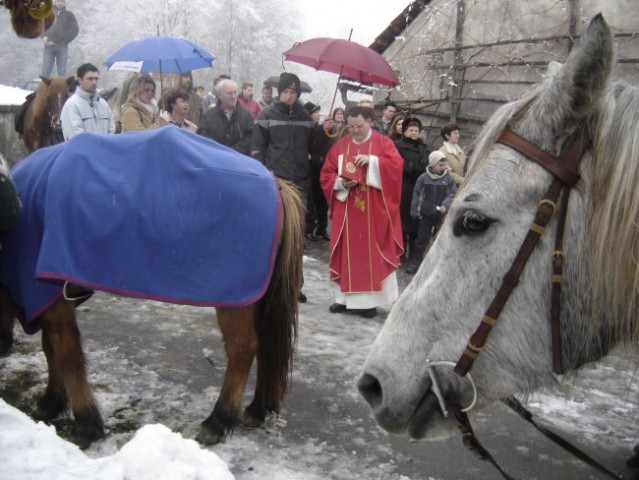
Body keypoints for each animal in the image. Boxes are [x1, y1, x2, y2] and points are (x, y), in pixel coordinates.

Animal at [0, 127, 304, 450]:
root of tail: (274, 182)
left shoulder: (46, 296)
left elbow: (67, 355)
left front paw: (84, 423)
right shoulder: (49, 298)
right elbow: (52, 349)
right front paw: (51, 402)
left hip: (236, 299)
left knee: (243, 348)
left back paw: (218, 420)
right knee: (266, 344)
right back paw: (257, 408)